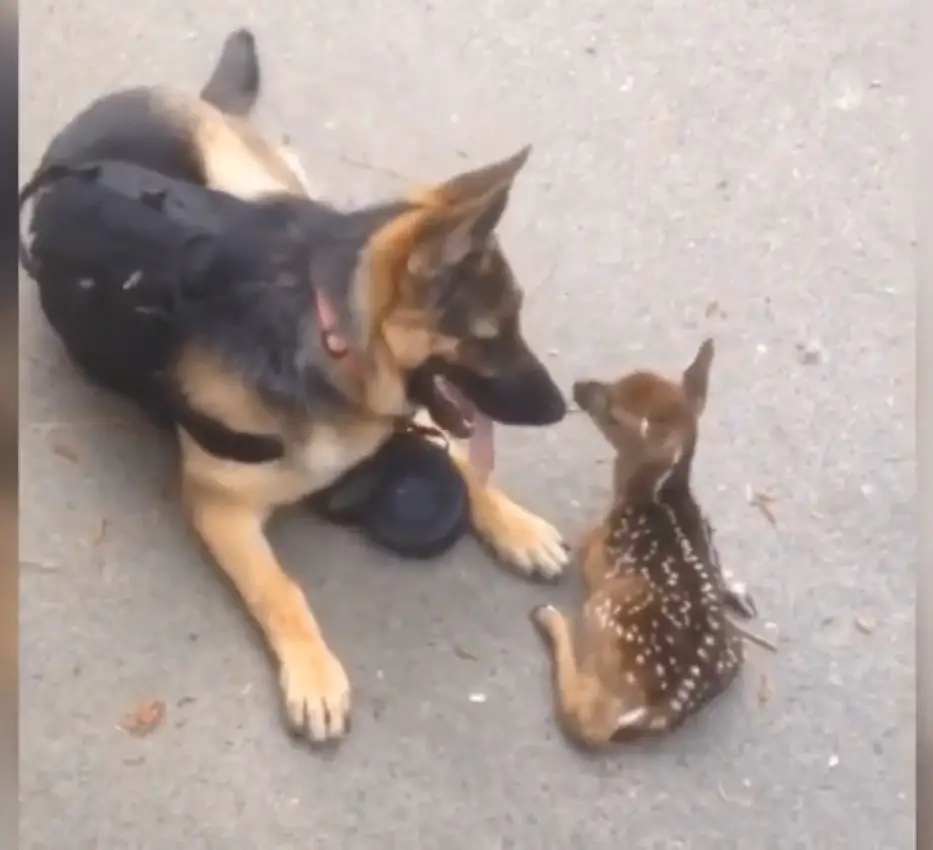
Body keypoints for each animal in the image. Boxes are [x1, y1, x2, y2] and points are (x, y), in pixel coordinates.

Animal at [23, 28, 568, 744]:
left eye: (515, 323)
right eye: (488, 335)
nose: (563, 408)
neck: (327, 335)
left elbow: (461, 458)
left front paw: (515, 523)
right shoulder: (219, 506)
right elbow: (282, 590)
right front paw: (314, 673)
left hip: (248, 180)